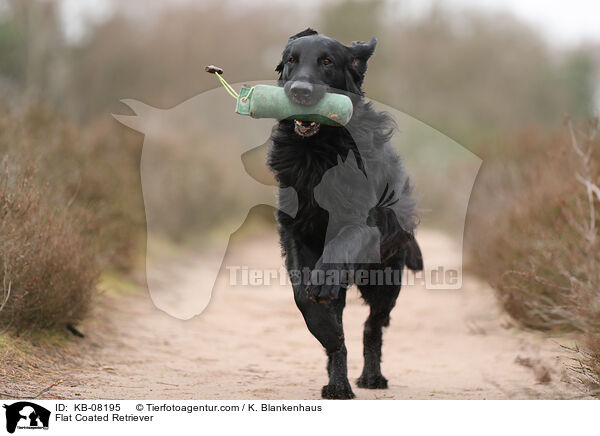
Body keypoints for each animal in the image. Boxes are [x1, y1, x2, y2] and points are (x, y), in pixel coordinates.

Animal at [268, 29, 422, 400]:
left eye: (327, 61)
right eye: (291, 60)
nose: (300, 91)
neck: (318, 151)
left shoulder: (363, 226)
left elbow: (341, 243)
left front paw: (324, 279)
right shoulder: (293, 230)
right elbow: (303, 296)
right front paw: (325, 329)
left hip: (385, 279)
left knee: (372, 327)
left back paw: (371, 376)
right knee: (340, 337)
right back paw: (337, 382)